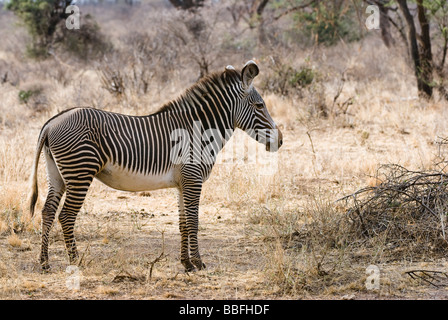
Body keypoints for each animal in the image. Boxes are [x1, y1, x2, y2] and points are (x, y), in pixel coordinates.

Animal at [28, 61, 284, 272]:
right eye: (260, 105)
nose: (280, 141)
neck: (199, 130)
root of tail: (52, 122)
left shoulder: (183, 183)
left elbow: (183, 223)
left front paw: (187, 264)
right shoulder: (193, 179)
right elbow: (194, 222)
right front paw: (199, 262)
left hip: (57, 173)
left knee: (48, 211)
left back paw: (44, 262)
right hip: (80, 171)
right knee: (66, 216)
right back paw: (75, 260)